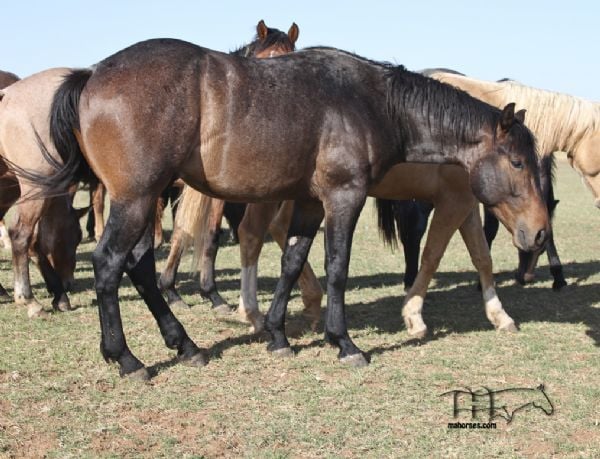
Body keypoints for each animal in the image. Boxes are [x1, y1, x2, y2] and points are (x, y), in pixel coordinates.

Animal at [0, 69, 88, 320]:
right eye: (76, 237)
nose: (69, 282)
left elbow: (37, 244)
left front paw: (59, 295)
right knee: (20, 234)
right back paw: (29, 299)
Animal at [32, 41, 548, 380]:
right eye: (517, 162)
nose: (541, 233)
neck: (369, 101)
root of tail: (92, 74)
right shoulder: (344, 198)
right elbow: (336, 268)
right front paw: (343, 342)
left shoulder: (307, 202)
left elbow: (291, 262)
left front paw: (278, 336)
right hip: (136, 199)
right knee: (109, 265)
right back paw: (127, 359)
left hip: (146, 199)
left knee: (138, 266)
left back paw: (186, 346)